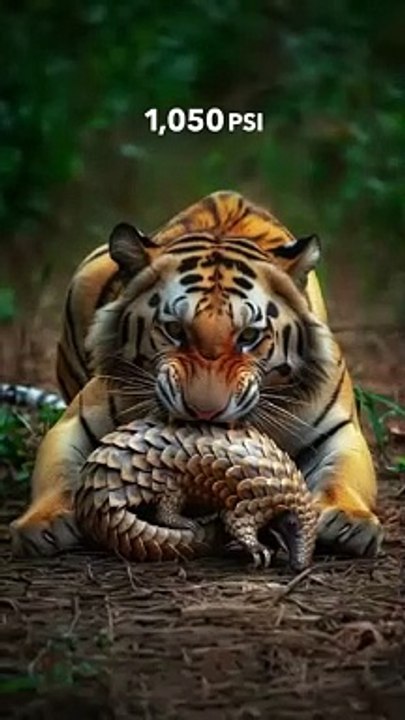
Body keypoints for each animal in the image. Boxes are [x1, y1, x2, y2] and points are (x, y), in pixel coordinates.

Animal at [9, 190, 382, 558]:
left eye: (248, 336)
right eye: (175, 330)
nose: (205, 412)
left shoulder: (339, 430)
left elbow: (342, 476)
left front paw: (350, 521)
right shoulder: (75, 422)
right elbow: (57, 473)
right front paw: (45, 523)